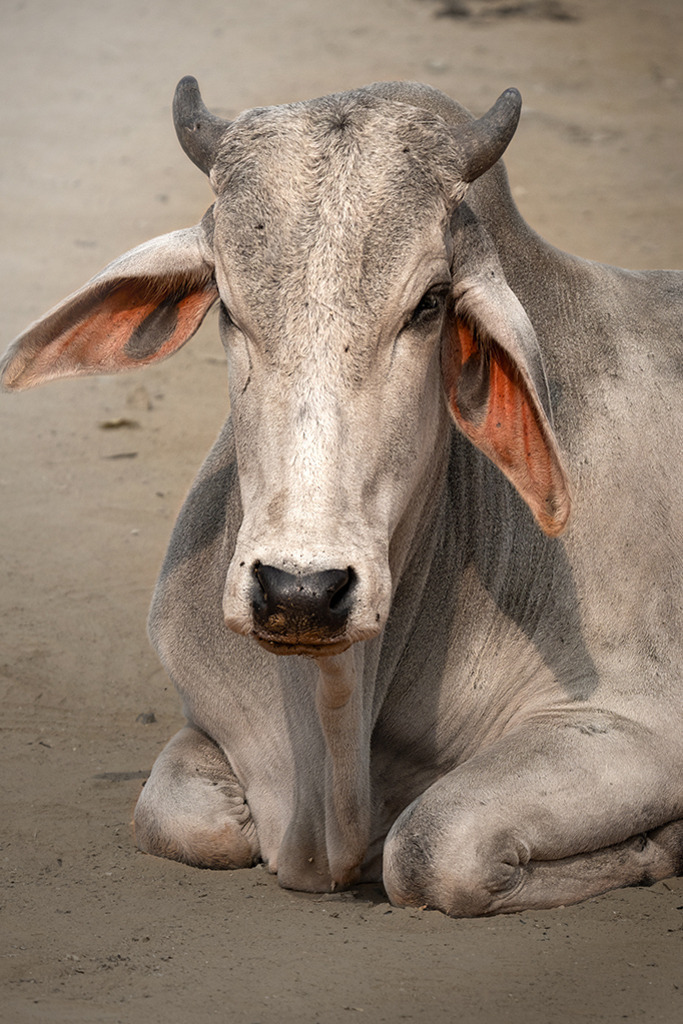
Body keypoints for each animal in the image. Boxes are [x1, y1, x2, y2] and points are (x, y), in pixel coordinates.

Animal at [2, 77, 682, 917]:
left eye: (429, 303)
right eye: (226, 305)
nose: (300, 592)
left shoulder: (637, 720)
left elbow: (430, 847)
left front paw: (657, 845)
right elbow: (181, 817)